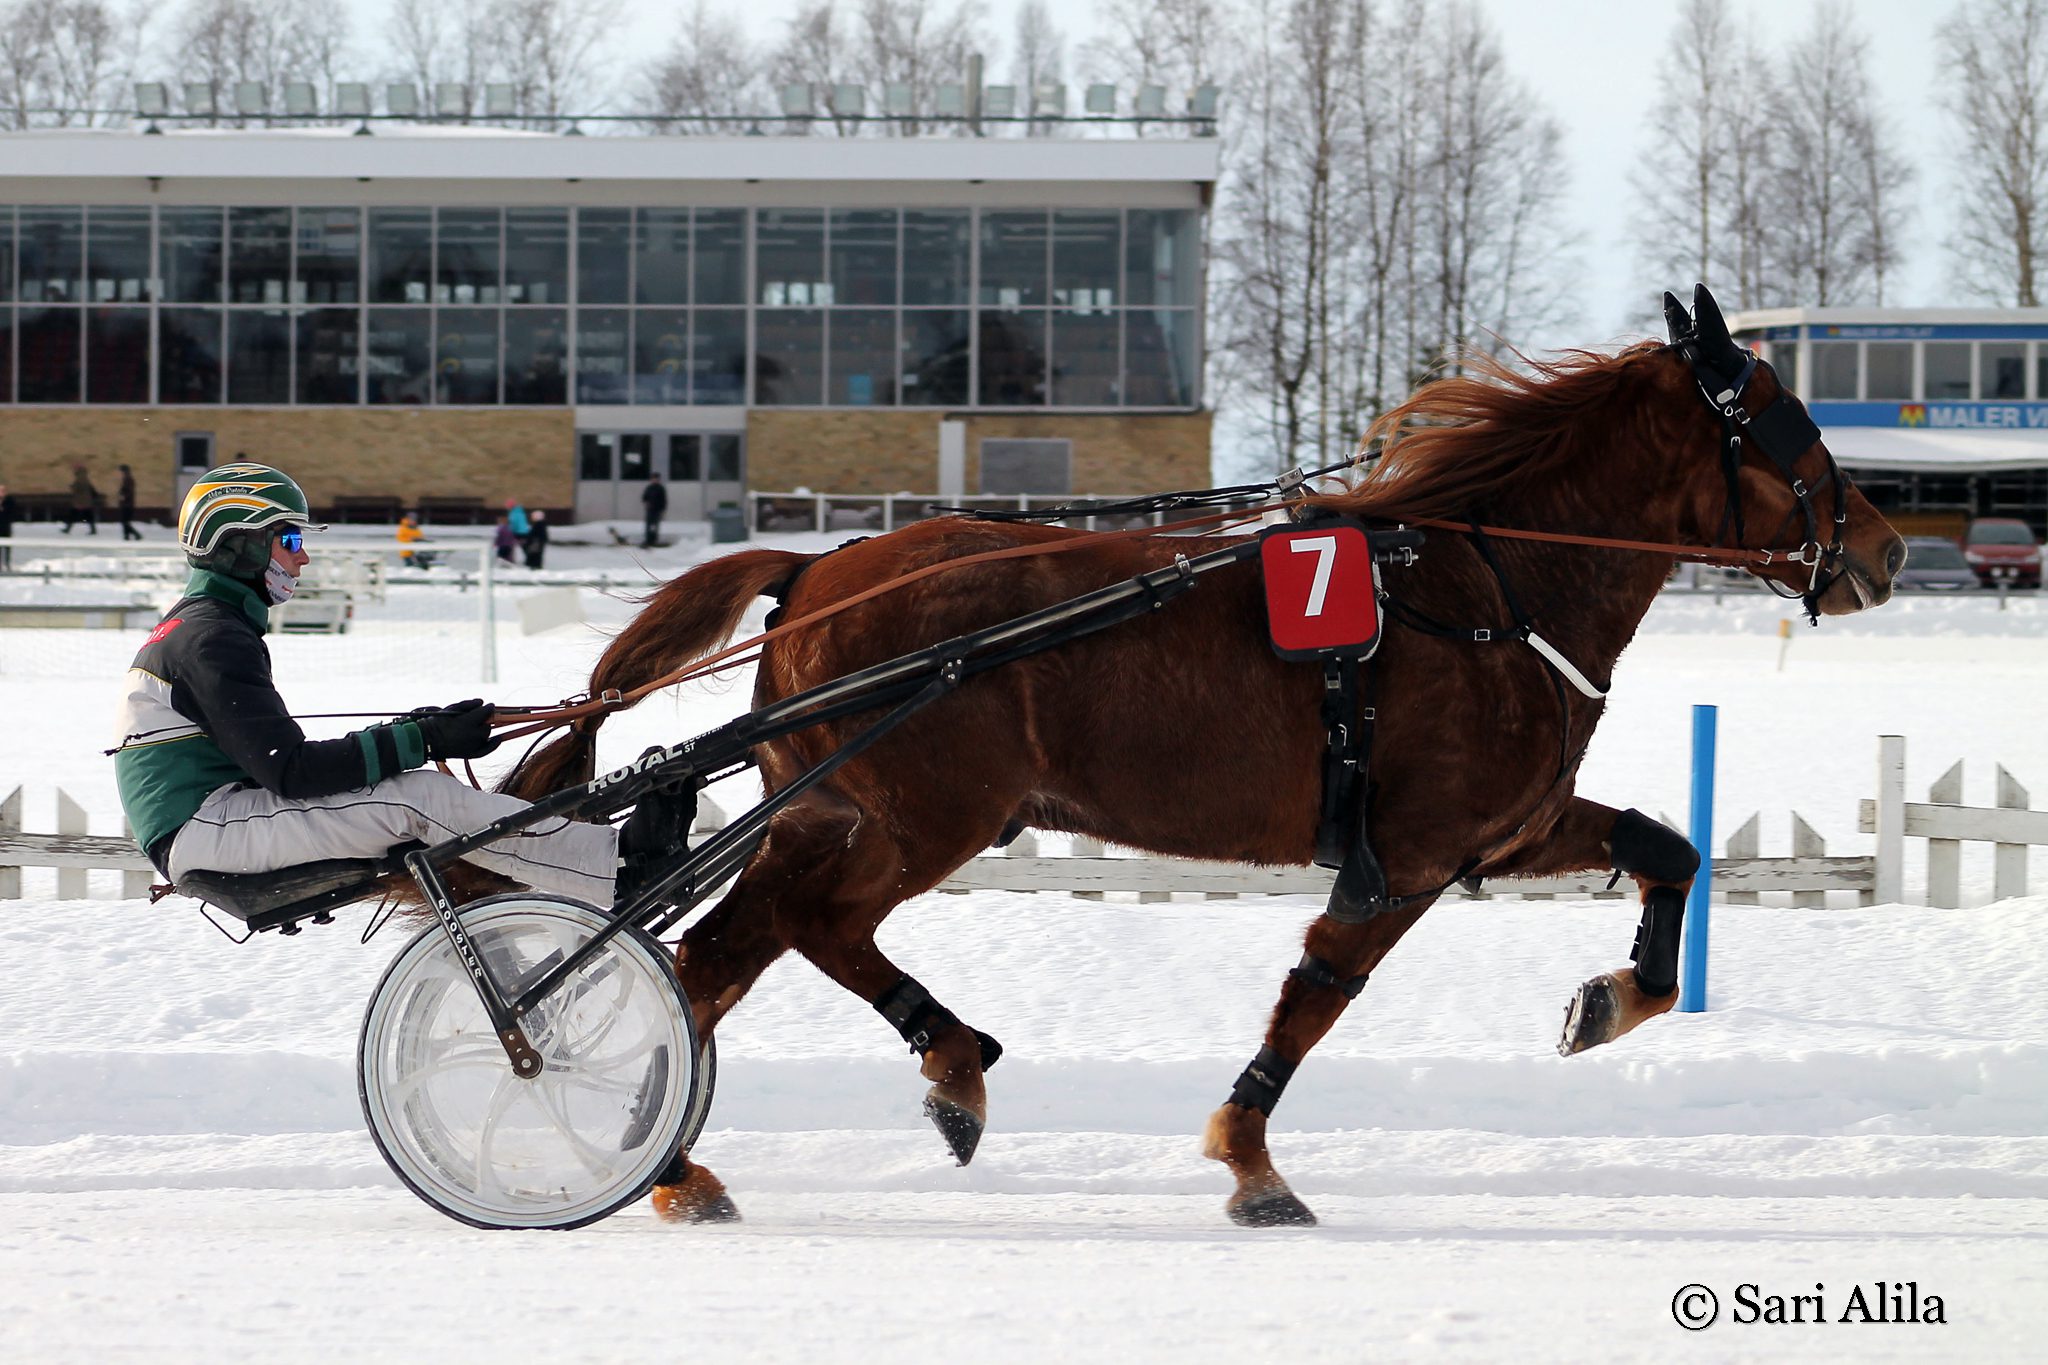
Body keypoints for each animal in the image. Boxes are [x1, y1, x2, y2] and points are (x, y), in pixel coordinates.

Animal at [505, 286, 1906, 1227]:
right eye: (1785, 423)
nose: (1886, 549)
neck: (1483, 584)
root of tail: (814, 570)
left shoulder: (1497, 833)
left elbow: (1665, 851)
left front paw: (1606, 1001)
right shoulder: (1406, 855)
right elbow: (1317, 994)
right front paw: (1249, 1160)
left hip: (840, 814)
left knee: (742, 951)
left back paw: (767, 1134)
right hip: (914, 817)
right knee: (772, 939)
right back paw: (830, 1110)